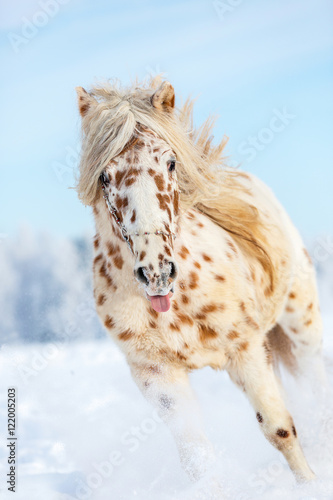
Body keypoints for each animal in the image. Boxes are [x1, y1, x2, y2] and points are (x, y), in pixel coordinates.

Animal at [74, 77, 324, 488]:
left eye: (171, 162)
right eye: (105, 176)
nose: (156, 271)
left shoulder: (246, 350)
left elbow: (279, 429)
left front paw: (310, 486)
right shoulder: (156, 374)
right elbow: (197, 458)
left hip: (301, 323)